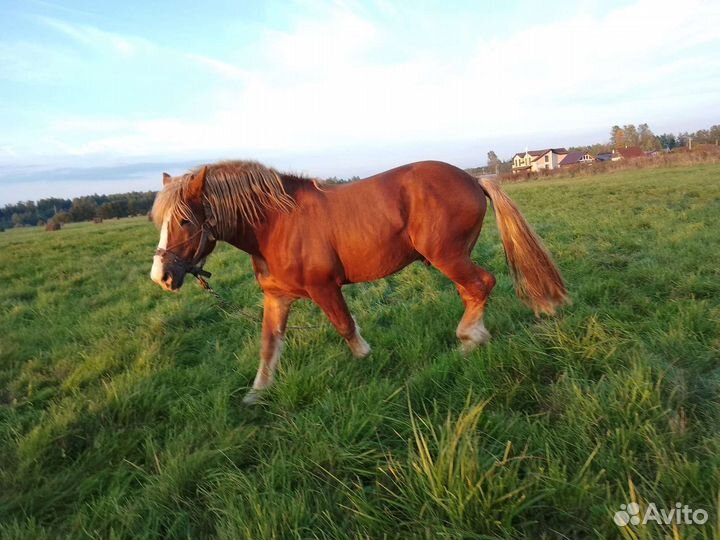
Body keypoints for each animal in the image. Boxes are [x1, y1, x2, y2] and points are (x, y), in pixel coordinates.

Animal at [150, 160, 567, 404]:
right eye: (159, 220)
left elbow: (346, 327)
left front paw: (368, 360)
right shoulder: (277, 297)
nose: (161, 277)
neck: (276, 224)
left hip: (447, 256)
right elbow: (269, 344)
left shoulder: (324, 288)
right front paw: (258, 392)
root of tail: (473, 178)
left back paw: (469, 338)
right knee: (472, 290)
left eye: (185, 220)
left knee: (481, 284)